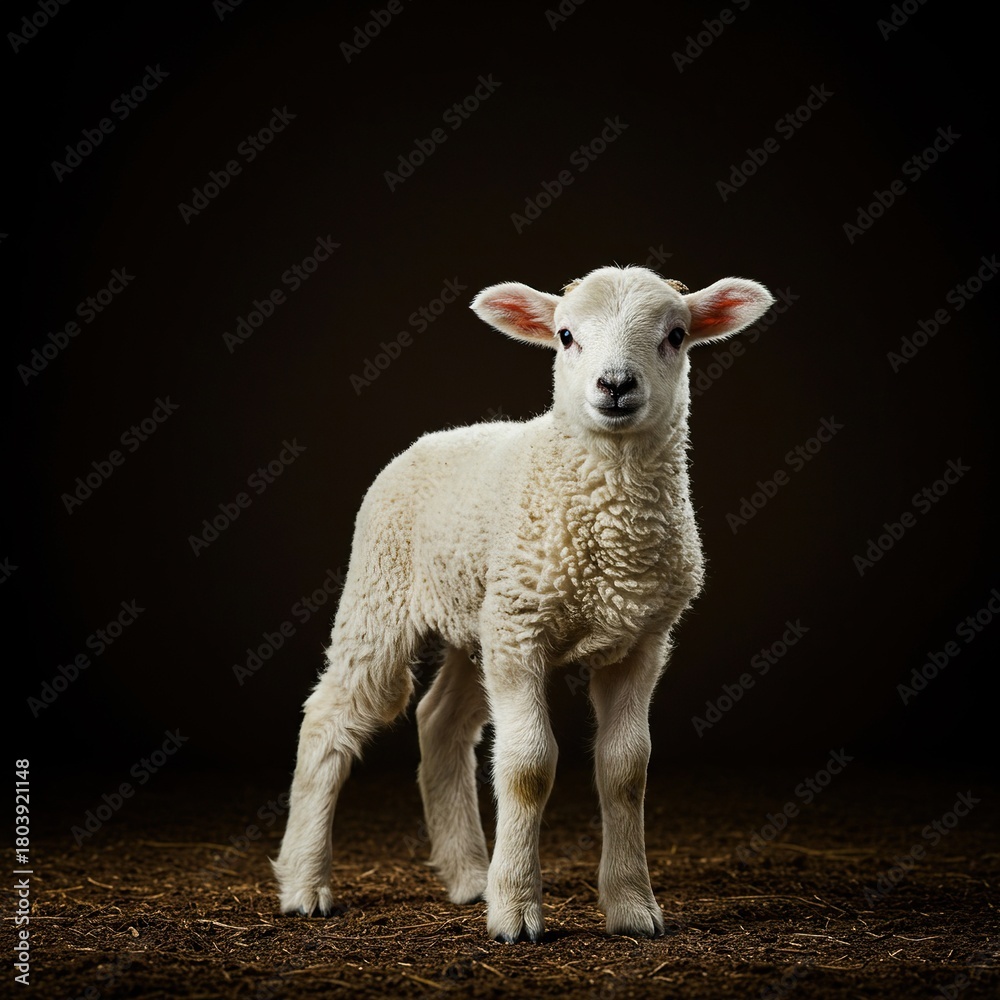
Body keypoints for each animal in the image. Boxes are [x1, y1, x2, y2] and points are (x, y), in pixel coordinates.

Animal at [273, 265, 776, 941]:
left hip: (477, 619)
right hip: (384, 597)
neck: (607, 518)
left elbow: (626, 770)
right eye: (565, 335)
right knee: (330, 718)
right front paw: (515, 911)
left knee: (439, 722)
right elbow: (527, 766)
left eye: (676, 335)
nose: (615, 385)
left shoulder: (639, 640)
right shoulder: (521, 635)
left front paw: (632, 907)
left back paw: (468, 878)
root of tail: (434, 437)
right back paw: (306, 884)